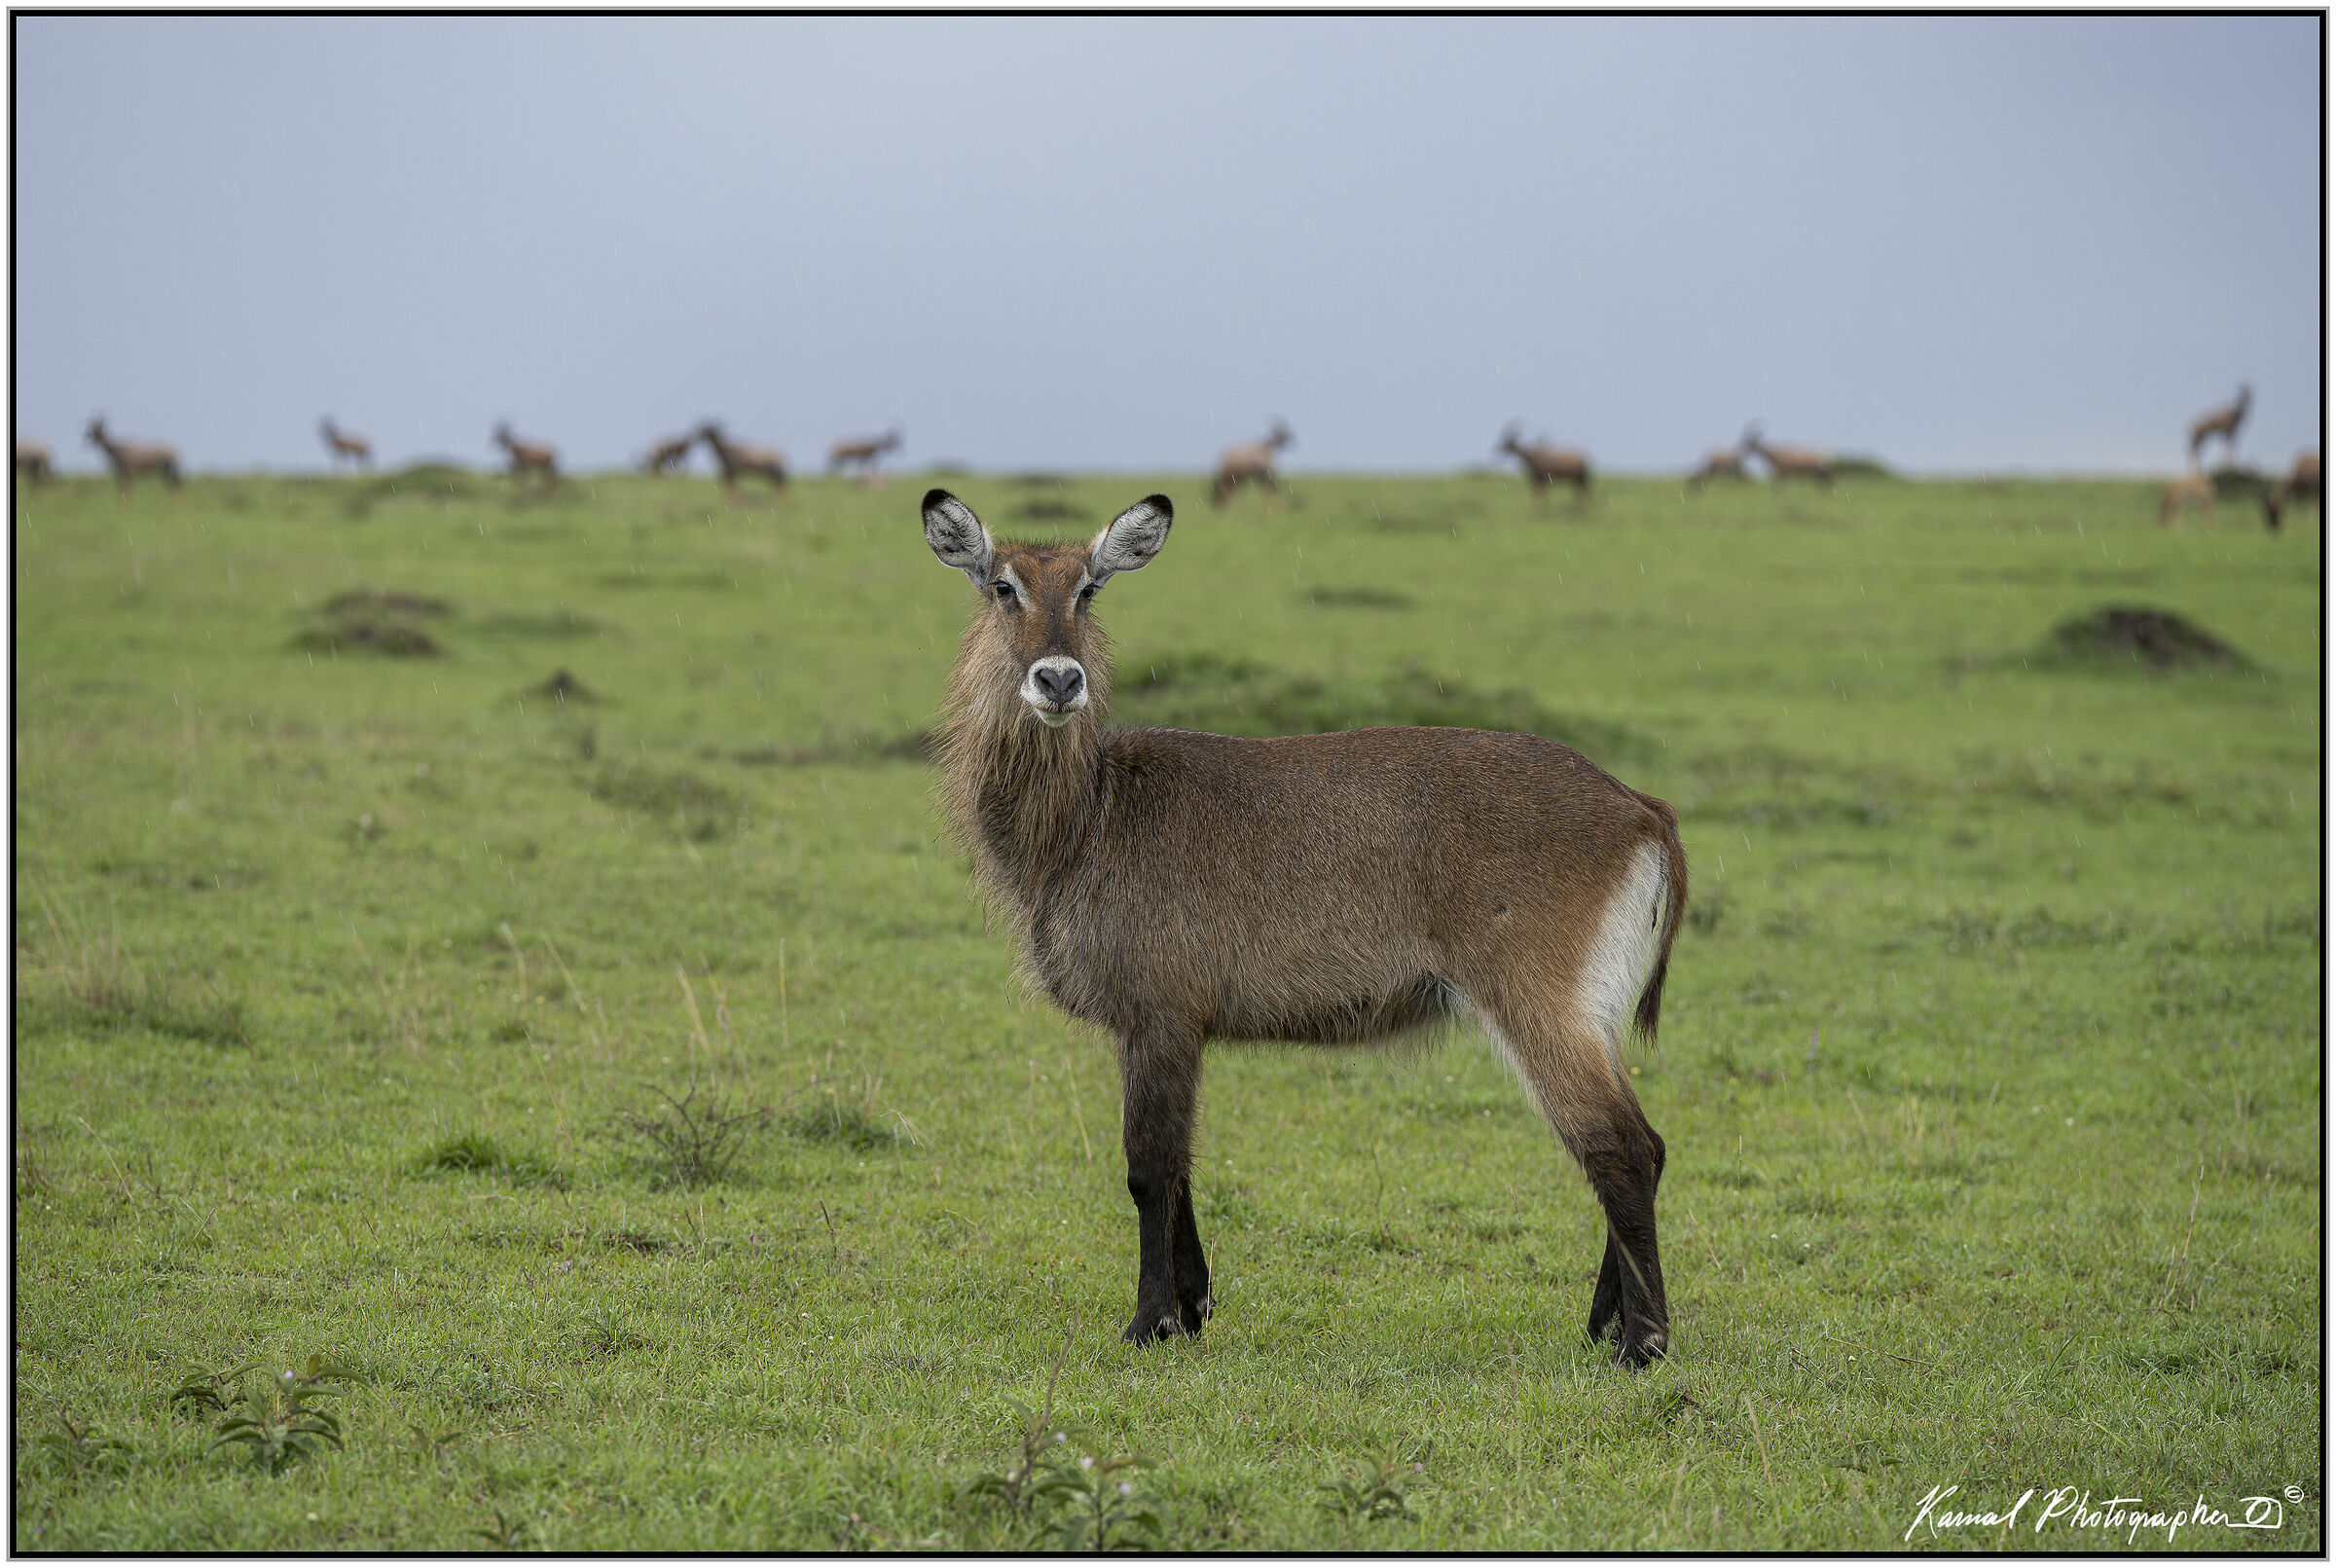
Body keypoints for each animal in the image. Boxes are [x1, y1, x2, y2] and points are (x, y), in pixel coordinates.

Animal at [920, 488, 1688, 1367]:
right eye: (1002, 586)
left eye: (1088, 589)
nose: (1057, 678)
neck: (1090, 813)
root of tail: (1638, 804)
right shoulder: (1168, 1027)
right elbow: (1182, 1165)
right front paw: (1193, 1305)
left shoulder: (1157, 1016)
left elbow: (1148, 1169)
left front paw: (1150, 1323)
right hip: (1593, 1010)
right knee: (1637, 1143)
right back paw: (1605, 1324)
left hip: (1541, 1002)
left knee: (1620, 1147)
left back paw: (1641, 1343)